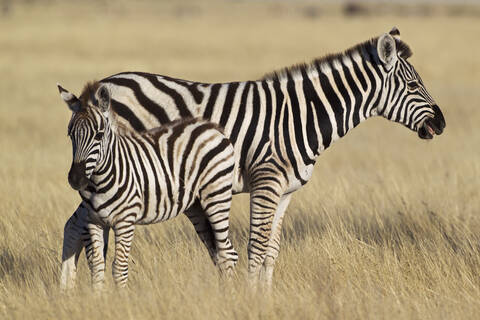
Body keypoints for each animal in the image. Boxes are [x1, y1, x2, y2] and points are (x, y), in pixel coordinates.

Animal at [58, 82, 238, 288]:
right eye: (70, 135)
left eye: (99, 135)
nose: (76, 179)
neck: (99, 182)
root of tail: (211, 127)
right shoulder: (94, 221)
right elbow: (96, 266)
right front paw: (98, 296)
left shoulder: (125, 221)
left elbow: (119, 268)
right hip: (196, 206)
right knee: (223, 251)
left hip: (217, 195)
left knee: (226, 253)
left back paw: (230, 292)